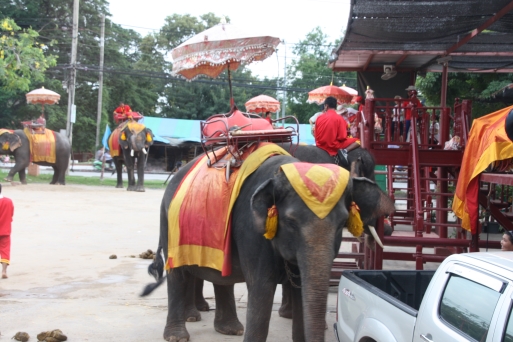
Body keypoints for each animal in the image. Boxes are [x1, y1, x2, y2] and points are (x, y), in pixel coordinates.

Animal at [140, 143, 392, 340]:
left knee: (220, 275)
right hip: (169, 223)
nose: (387, 225)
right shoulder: (252, 230)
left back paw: (229, 330)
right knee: (178, 273)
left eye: (341, 225)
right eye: (290, 223)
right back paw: (180, 334)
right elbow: (262, 288)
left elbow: (301, 288)